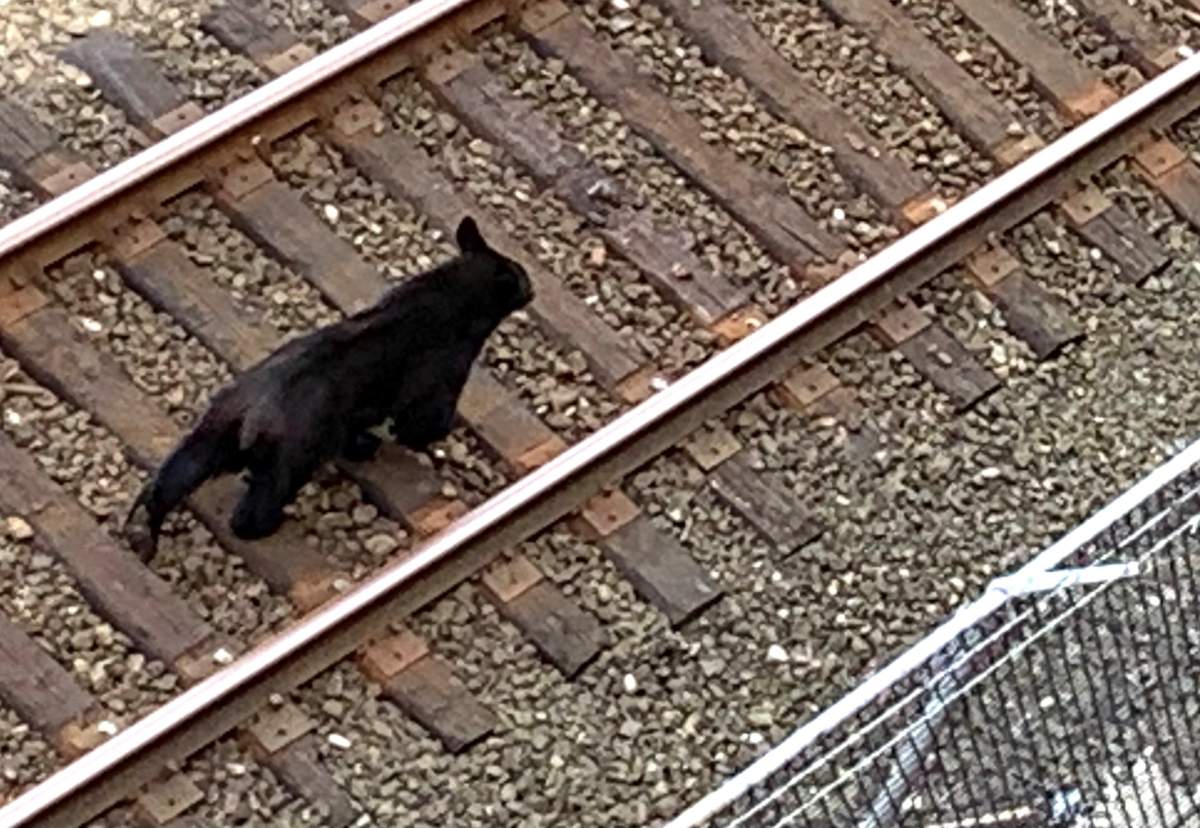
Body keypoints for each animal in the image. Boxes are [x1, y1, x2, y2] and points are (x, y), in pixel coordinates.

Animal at [124, 216, 533, 561]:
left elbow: (356, 432)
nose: (532, 287)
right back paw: (266, 526)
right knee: (252, 512)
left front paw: (363, 445)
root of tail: (251, 412)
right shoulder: (439, 383)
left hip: (211, 435)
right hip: (288, 461)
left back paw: (141, 532)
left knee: (172, 477)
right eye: (522, 275)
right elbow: (423, 424)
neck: (452, 294)